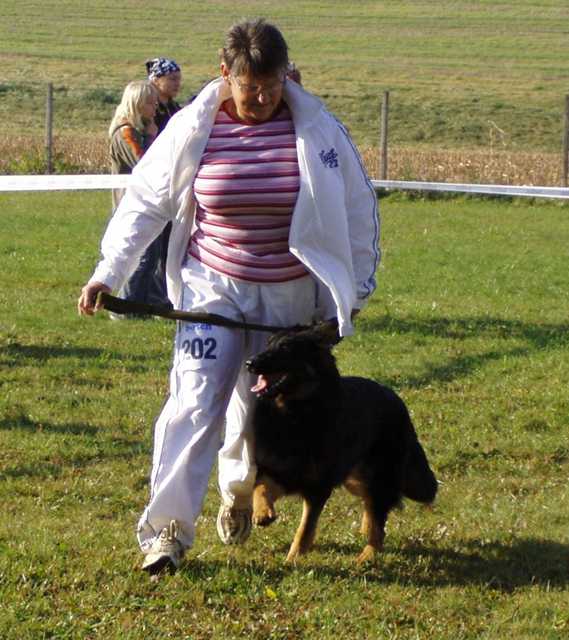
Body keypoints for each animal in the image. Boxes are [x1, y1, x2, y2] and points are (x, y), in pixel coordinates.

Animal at [246, 322, 438, 564]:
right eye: (268, 343)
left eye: (286, 347)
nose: (249, 363)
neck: (295, 413)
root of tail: (395, 398)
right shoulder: (277, 470)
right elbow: (260, 487)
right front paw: (262, 513)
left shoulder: (318, 488)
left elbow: (305, 528)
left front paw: (293, 558)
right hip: (355, 480)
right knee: (370, 503)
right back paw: (365, 528)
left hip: (380, 476)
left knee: (379, 523)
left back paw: (366, 555)